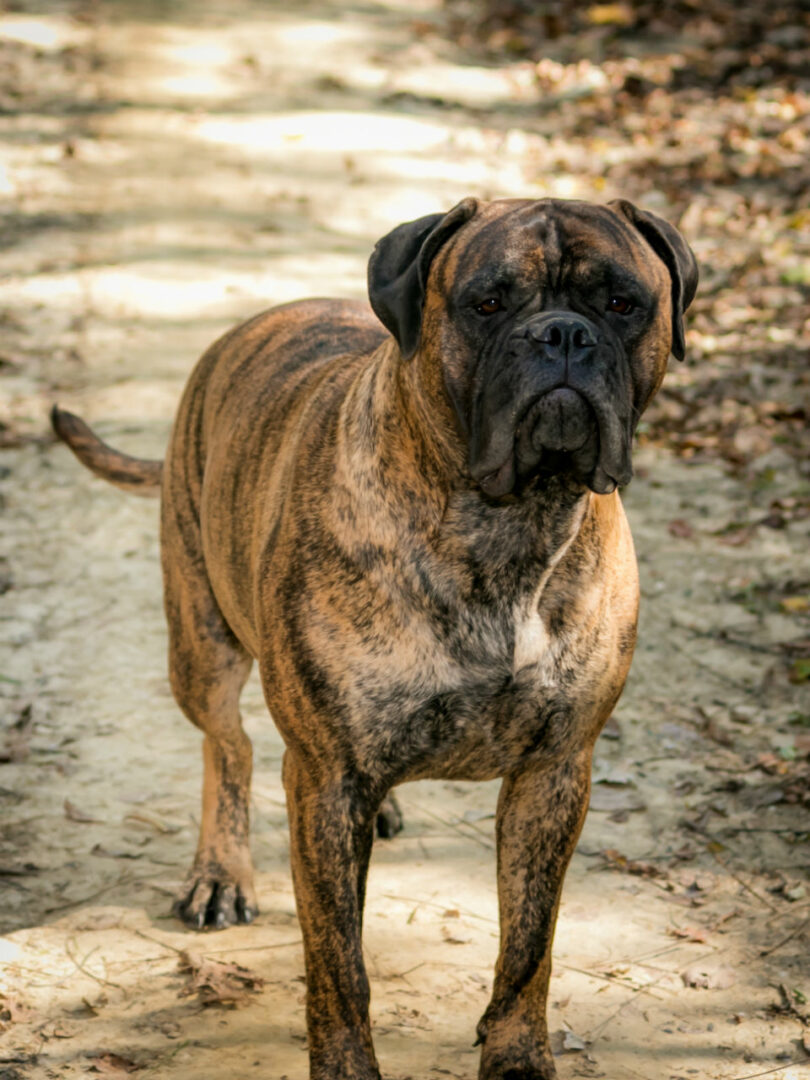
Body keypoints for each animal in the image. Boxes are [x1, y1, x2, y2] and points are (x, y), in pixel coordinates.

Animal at [54, 196, 699, 1080]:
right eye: (487, 302)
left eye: (622, 303)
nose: (563, 334)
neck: (504, 526)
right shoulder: (325, 780)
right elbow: (339, 965)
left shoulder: (554, 774)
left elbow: (529, 945)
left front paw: (515, 1055)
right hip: (201, 642)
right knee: (230, 746)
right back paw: (221, 872)